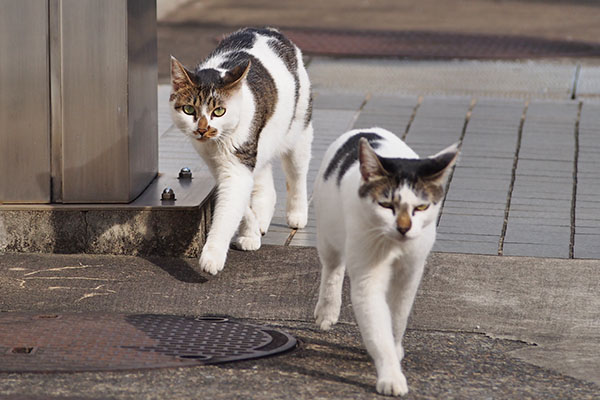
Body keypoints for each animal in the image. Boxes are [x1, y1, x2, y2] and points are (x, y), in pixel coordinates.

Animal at [168, 28, 312, 276]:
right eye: (188, 109)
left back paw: (297, 215)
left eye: (219, 111)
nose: (203, 129)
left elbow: (229, 210)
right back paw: (260, 224)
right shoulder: (218, 164)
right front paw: (251, 231)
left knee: (297, 175)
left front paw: (212, 256)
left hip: (299, 130)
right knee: (266, 187)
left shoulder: (237, 163)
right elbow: (239, 203)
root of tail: (270, 30)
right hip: (262, 146)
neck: (216, 143)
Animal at [312, 127, 458, 394]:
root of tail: (366, 130)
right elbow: (378, 325)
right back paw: (327, 311)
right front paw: (391, 376)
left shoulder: (410, 273)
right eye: (386, 204)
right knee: (332, 268)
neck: (394, 247)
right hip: (328, 233)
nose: (404, 228)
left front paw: (396, 348)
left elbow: (398, 315)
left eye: (421, 207)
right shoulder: (367, 277)